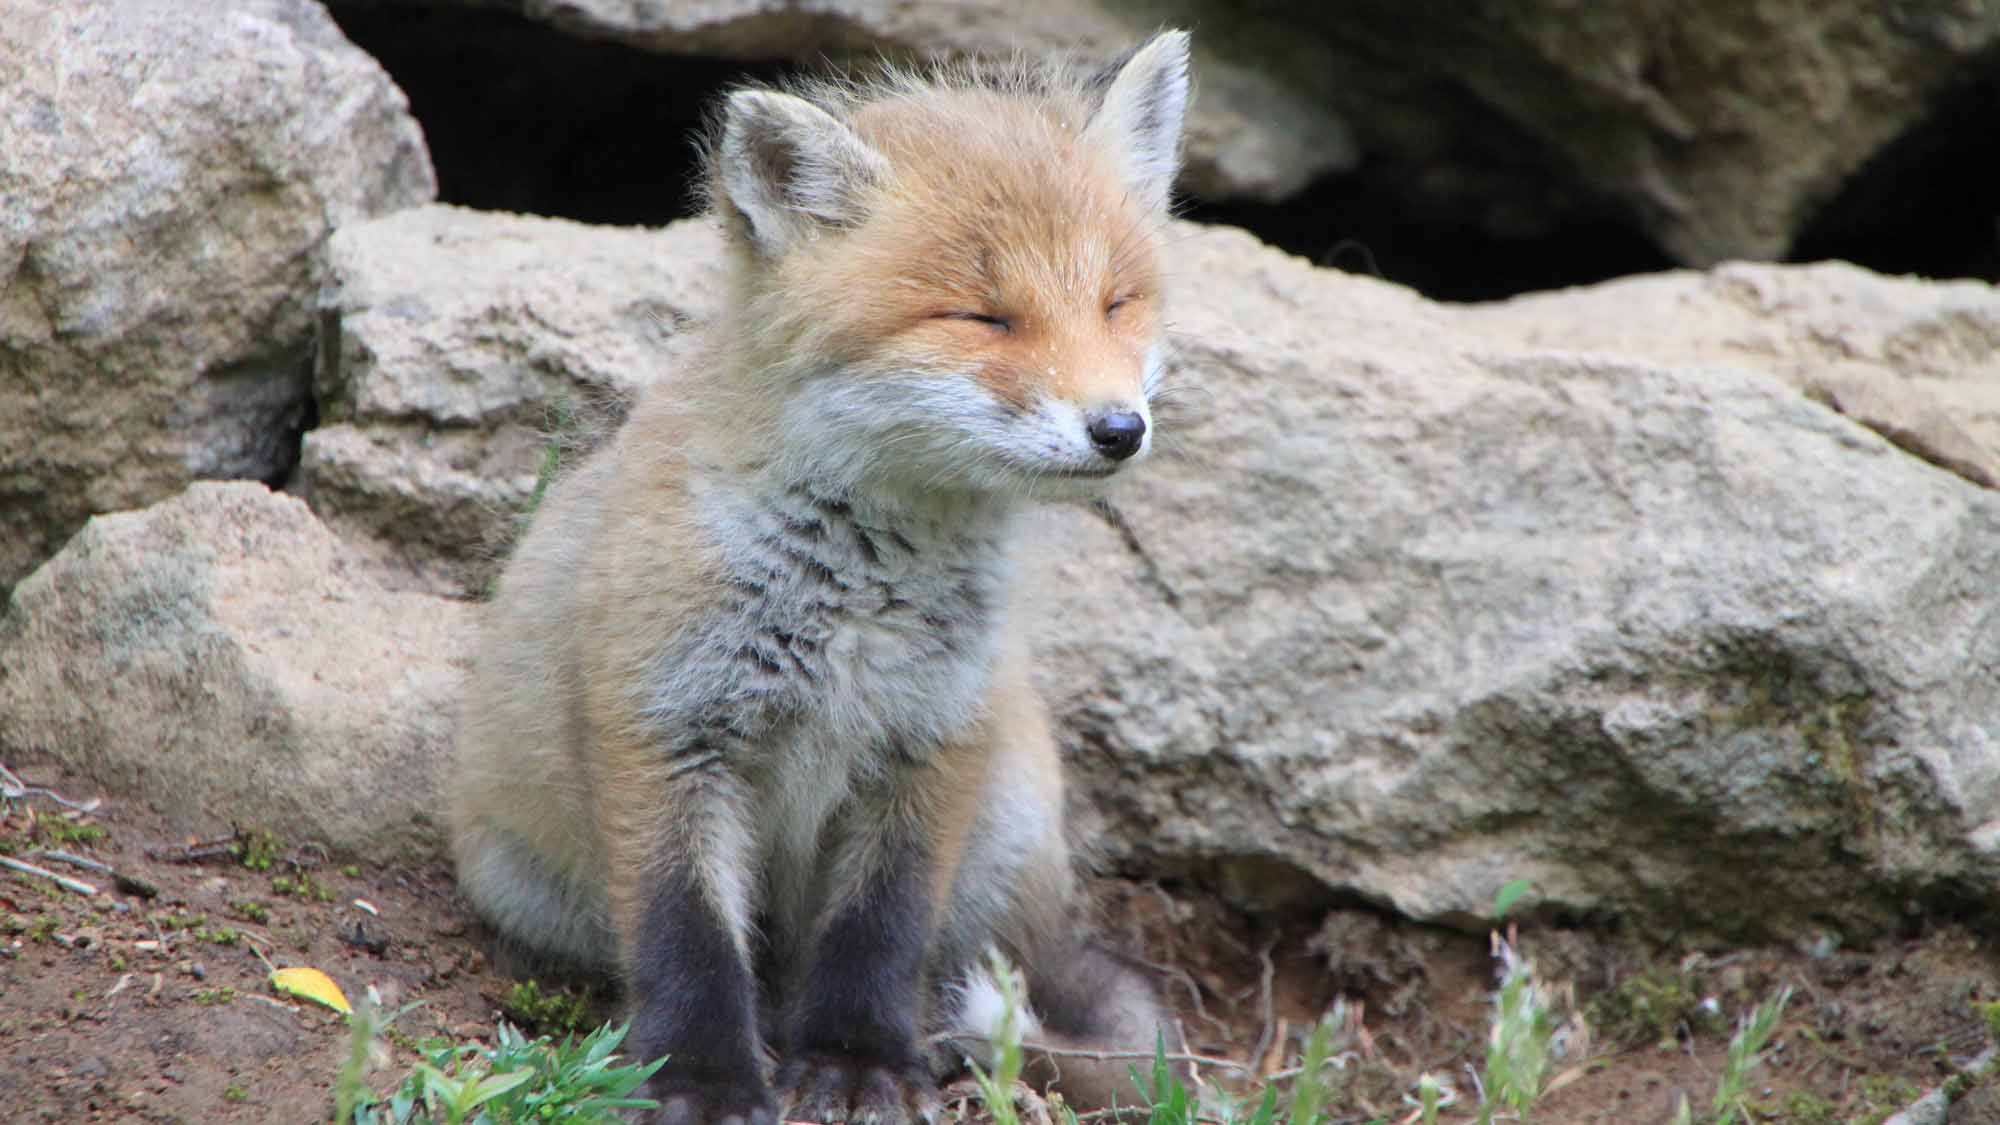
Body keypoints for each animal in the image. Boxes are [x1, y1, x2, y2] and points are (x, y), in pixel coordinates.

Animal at [446, 32, 1192, 1120]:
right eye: (985, 318)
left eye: (1115, 304)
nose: (1119, 430)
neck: (855, 596)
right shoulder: (664, 728)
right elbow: (686, 938)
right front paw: (703, 1077)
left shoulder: (932, 740)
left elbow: (877, 932)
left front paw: (854, 1061)